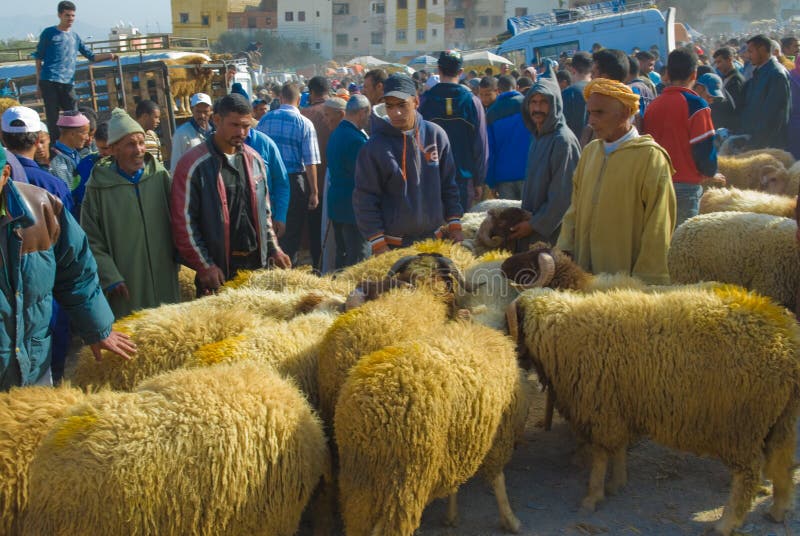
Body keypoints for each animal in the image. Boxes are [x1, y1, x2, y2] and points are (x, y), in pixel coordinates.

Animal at [336, 320, 532, 532]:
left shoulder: (458, 442)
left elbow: (455, 482)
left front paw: (451, 516)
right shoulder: (498, 436)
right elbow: (498, 480)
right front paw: (511, 520)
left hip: (361, 477)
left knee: (358, 520)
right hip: (405, 479)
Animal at [506, 284, 800, 532]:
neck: (560, 329)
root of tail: (786, 337)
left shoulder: (602, 409)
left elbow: (601, 456)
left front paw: (592, 497)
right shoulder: (619, 406)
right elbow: (618, 450)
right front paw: (617, 483)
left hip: (743, 423)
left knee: (748, 473)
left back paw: (726, 524)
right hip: (780, 419)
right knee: (782, 463)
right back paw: (778, 509)